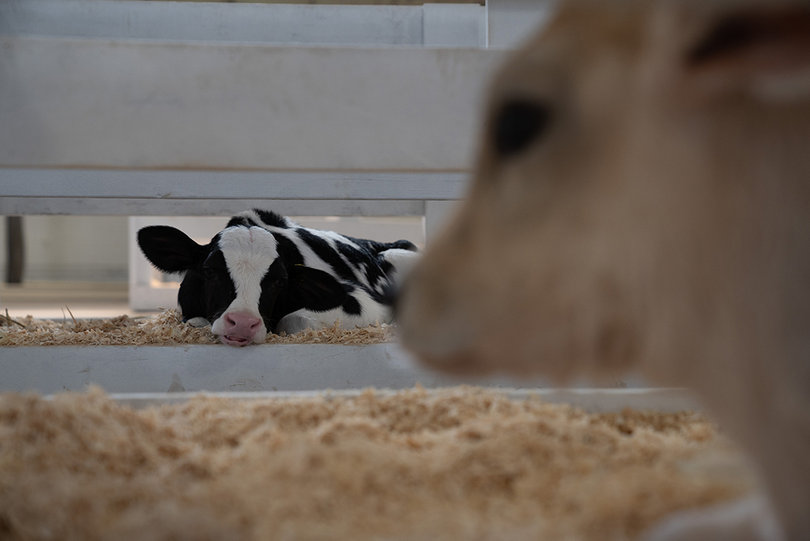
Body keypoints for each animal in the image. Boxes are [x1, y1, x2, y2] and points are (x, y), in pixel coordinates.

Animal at [138, 209, 419, 346]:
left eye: (279, 281)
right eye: (209, 271)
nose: (242, 323)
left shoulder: (367, 304)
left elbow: (294, 321)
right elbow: (195, 322)